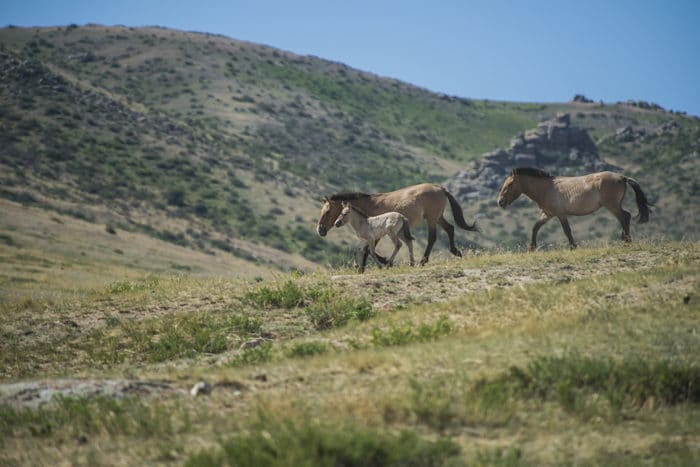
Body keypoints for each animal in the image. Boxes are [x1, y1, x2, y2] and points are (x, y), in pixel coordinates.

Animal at [318, 184, 478, 268]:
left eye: (327, 211)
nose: (320, 230)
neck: (368, 206)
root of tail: (440, 188)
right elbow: (366, 250)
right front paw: (364, 268)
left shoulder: (375, 234)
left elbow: (368, 250)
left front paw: (381, 263)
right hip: (437, 217)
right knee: (450, 228)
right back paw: (456, 252)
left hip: (432, 219)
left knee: (432, 238)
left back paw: (422, 261)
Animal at [498, 166, 652, 250]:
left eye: (510, 184)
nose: (500, 202)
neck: (547, 188)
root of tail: (622, 177)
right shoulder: (548, 215)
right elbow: (535, 227)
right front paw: (532, 248)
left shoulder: (560, 214)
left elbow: (567, 231)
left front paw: (573, 247)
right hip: (614, 205)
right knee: (625, 217)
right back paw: (625, 240)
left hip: (612, 205)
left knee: (625, 216)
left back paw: (627, 242)